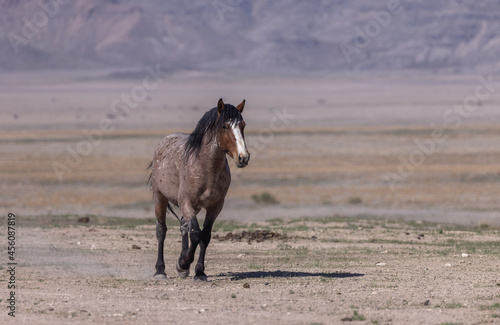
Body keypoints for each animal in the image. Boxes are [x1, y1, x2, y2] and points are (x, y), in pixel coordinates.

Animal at [147, 97, 250, 280]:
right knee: (161, 230)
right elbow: (195, 234)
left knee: (183, 226)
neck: (207, 168)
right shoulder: (186, 202)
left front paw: (199, 272)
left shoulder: (215, 206)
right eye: (225, 126)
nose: (243, 157)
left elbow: (205, 236)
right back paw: (160, 270)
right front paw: (182, 264)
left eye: (242, 124)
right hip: (161, 198)